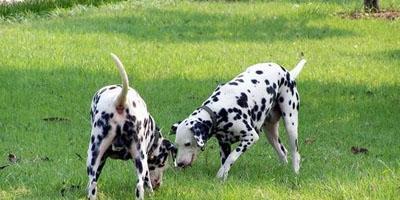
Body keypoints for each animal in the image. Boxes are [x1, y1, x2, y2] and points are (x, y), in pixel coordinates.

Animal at [86, 53, 176, 200]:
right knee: (139, 186)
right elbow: (147, 182)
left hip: (94, 155)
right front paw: (151, 192)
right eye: (162, 163)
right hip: (139, 159)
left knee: (93, 184)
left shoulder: (102, 159)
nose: (158, 185)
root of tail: (120, 101)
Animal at [170, 58, 306, 180]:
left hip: (290, 125)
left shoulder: (250, 137)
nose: (179, 163)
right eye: (177, 144)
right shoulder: (224, 144)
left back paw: (295, 172)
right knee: (283, 152)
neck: (219, 110)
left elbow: (231, 157)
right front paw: (223, 176)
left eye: (187, 144)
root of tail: (287, 72)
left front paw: (220, 174)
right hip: (270, 133)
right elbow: (225, 162)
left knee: (295, 153)